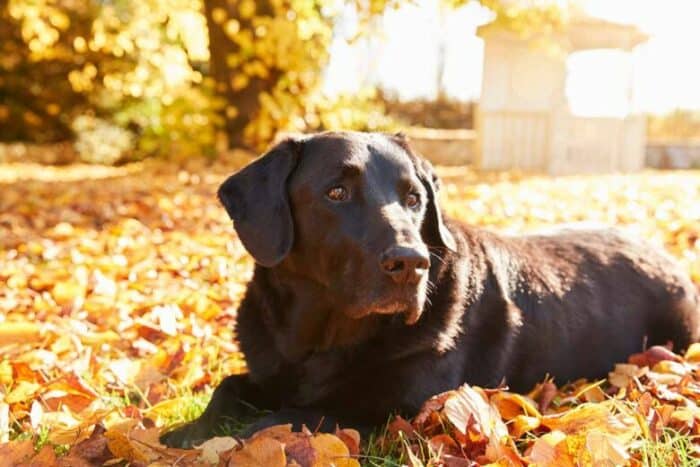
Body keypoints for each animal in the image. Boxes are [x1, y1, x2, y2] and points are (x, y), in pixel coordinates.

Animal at [161, 130, 700, 448]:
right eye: (336, 192)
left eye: (414, 197)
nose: (411, 263)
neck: (321, 339)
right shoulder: (271, 369)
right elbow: (228, 388)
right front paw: (188, 432)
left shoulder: (394, 404)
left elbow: (287, 417)